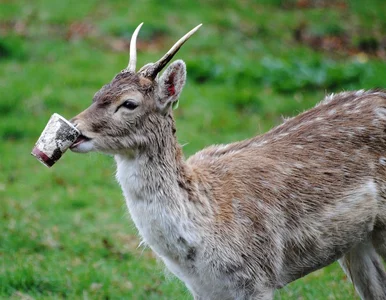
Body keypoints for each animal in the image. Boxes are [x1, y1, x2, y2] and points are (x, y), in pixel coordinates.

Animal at [69, 23, 386, 300]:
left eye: (129, 103)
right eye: (97, 94)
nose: (74, 129)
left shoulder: (259, 276)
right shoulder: (203, 289)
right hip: (356, 241)